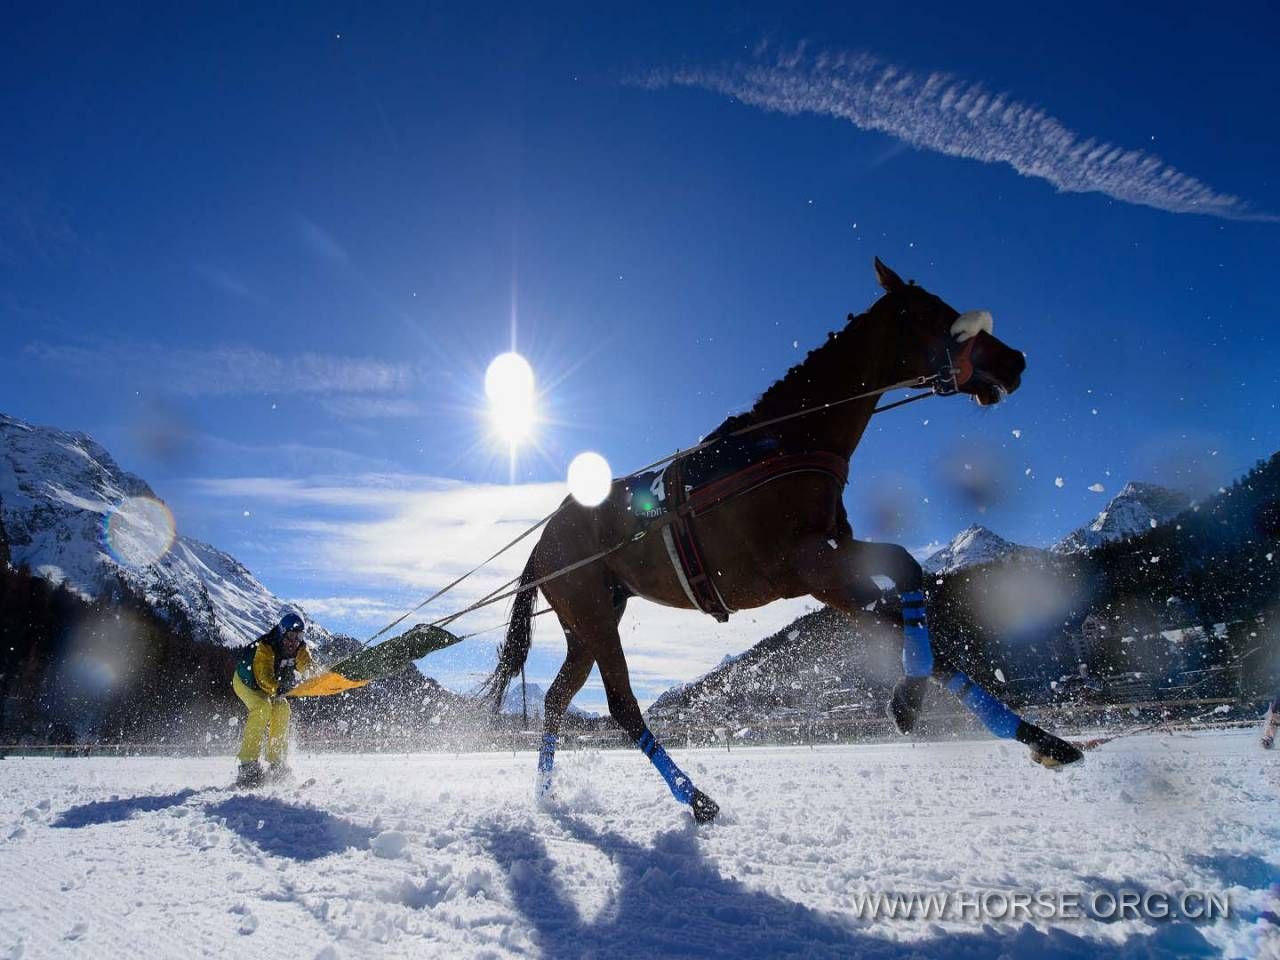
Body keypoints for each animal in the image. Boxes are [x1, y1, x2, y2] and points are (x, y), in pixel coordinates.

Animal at [483, 259, 1085, 824]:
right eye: (936, 314)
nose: (1014, 360)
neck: (786, 438)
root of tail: (548, 535)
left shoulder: (832, 548)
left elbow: (908, 572)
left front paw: (1019, 731)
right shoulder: (812, 569)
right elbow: (912, 632)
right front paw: (932, 704)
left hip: (590, 620)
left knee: (557, 699)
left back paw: (547, 794)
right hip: (593, 616)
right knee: (622, 705)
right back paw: (695, 798)